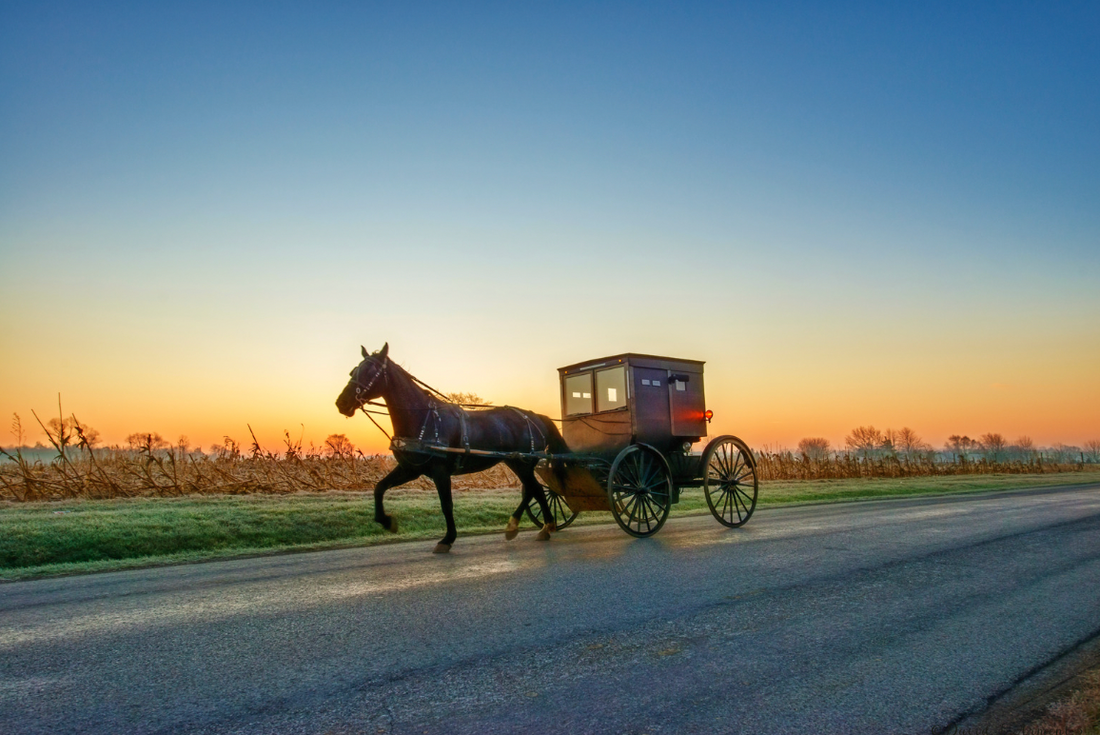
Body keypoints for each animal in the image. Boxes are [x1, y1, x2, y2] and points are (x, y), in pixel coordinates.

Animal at [336, 343, 572, 550]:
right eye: (353, 371)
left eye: (371, 372)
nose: (341, 403)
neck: (424, 418)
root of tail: (534, 416)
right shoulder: (410, 469)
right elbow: (379, 488)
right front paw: (387, 521)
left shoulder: (440, 472)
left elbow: (446, 504)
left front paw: (447, 539)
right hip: (515, 462)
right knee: (533, 490)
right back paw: (524, 526)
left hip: (523, 463)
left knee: (536, 490)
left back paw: (543, 526)